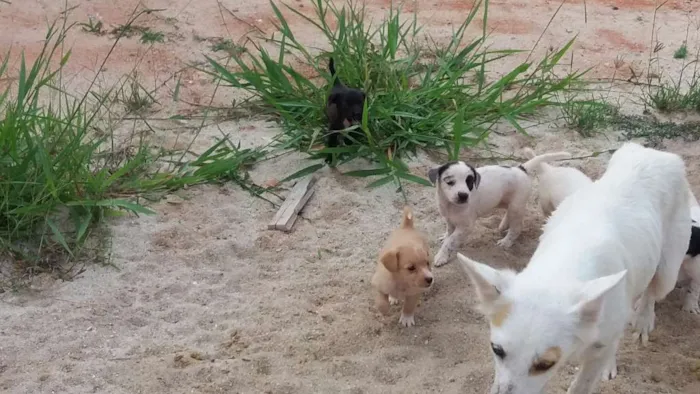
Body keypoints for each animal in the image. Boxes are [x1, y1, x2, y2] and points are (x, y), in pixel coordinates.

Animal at [426, 152, 576, 268]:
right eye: (449, 182)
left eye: (469, 182)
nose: (463, 195)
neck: (450, 205)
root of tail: (521, 169)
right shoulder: (449, 220)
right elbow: (449, 233)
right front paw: (445, 237)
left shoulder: (466, 226)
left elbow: (450, 241)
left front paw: (441, 256)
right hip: (503, 201)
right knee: (508, 213)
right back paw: (503, 225)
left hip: (516, 206)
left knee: (517, 227)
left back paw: (506, 241)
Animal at [456, 142, 692, 394]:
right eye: (496, 350)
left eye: (545, 364)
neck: (563, 265)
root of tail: (653, 152)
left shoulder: (596, 349)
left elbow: (583, 383)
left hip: (669, 270)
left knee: (652, 293)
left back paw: (642, 320)